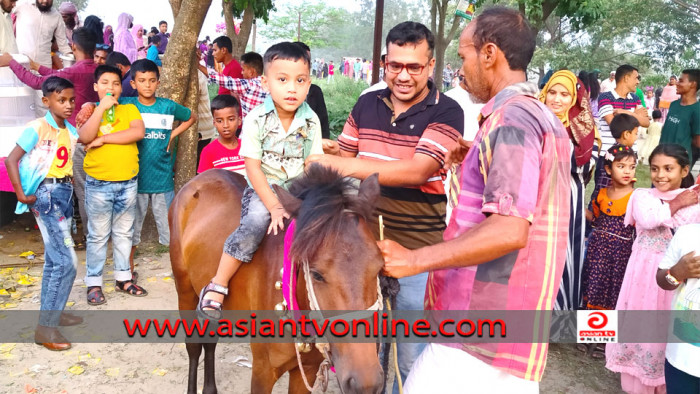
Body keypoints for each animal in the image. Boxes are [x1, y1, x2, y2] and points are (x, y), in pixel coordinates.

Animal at [172, 165, 386, 392]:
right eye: (317, 274)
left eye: (379, 268)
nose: (365, 382)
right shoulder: (263, 370)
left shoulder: (307, 371)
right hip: (185, 290)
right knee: (194, 345)